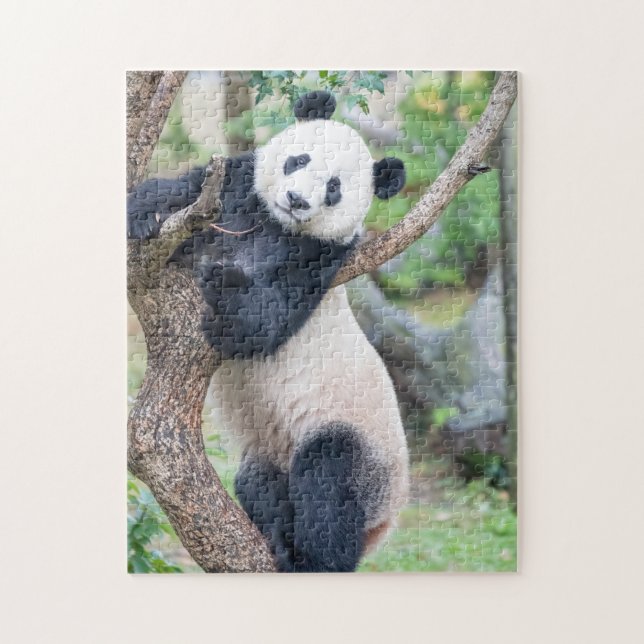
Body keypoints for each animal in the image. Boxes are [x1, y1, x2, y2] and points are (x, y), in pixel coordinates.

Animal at [128, 90, 410, 572]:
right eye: (299, 159)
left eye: (334, 188)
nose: (296, 199)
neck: (276, 224)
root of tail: (386, 525)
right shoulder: (236, 191)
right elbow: (181, 190)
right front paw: (143, 216)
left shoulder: (321, 257)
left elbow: (264, 320)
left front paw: (225, 283)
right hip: (270, 452)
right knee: (258, 481)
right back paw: (277, 538)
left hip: (365, 451)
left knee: (329, 481)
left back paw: (311, 560)